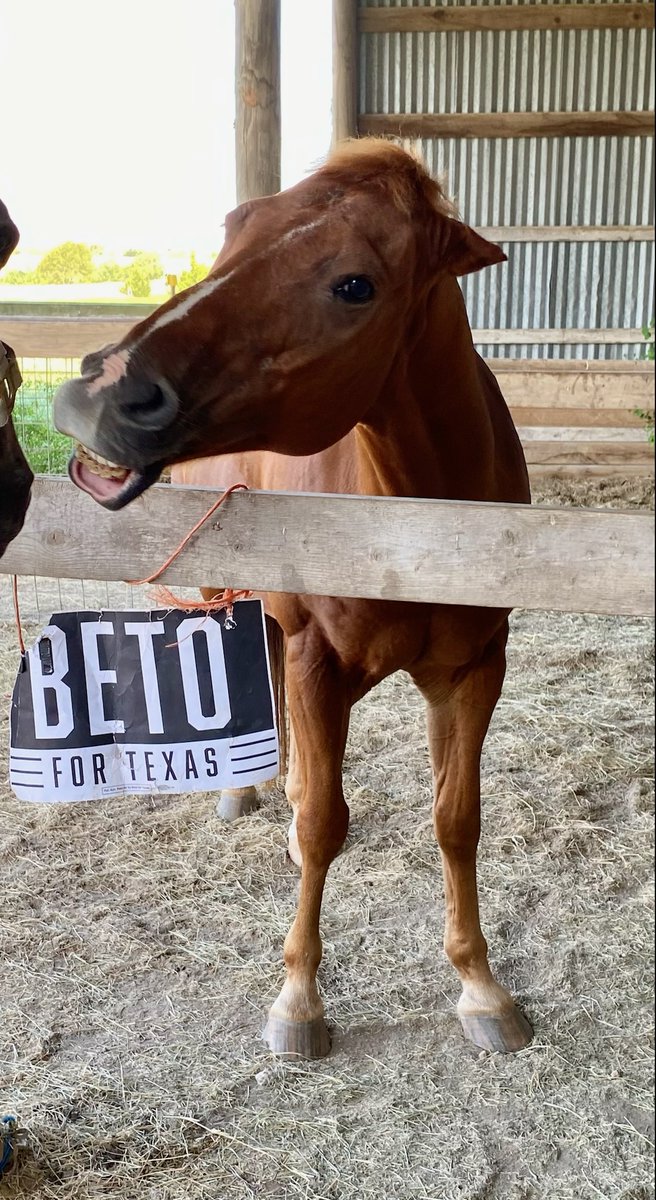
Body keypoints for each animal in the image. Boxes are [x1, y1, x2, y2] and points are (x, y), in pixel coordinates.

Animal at [54, 139, 533, 1060]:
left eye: (355, 285)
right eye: (235, 228)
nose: (99, 393)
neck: (422, 531)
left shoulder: (473, 671)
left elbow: (456, 819)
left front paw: (481, 987)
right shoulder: (319, 658)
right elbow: (323, 825)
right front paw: (299, 1001)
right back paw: (245, 794)